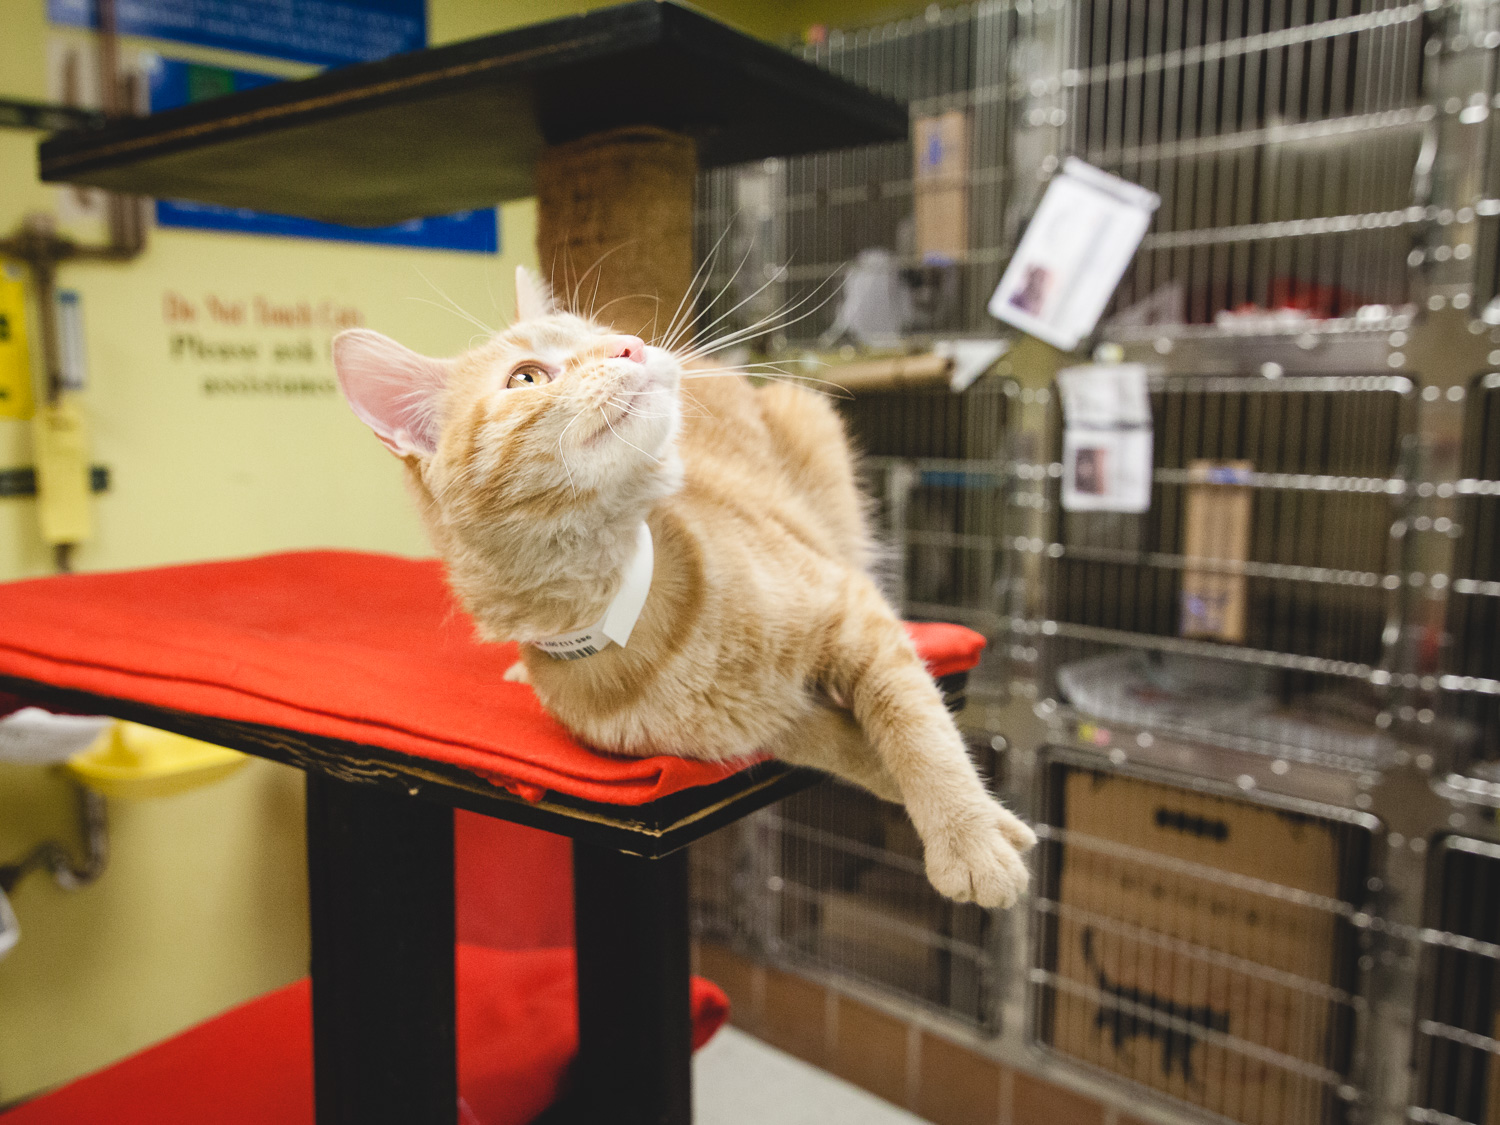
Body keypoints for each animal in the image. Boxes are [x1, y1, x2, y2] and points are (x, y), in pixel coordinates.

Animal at [331, 268, 1032, 912]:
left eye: (598, 333)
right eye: (526, 378)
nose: (630, 345)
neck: (628, 612)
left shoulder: (854, 613)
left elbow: (919, 729)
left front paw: (973, 835)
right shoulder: (770, 726)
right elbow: (860, 750)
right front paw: (983, 826)